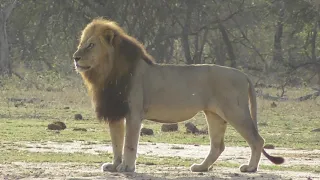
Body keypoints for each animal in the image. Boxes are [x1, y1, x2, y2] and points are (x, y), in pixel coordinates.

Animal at [74, 17, 284, 173]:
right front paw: (114, 165)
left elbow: (129, 143)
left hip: (235, 111)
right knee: (218, 145)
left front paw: (126, 167)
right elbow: (116, 142)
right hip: (214, 115)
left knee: (257, 140)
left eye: (91, 45)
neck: (106, 73)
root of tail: (243, 74)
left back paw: (250, 168)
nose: (75, 57)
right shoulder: (115, 111)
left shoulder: (133, 113)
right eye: (81, 44)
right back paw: (201, 167)